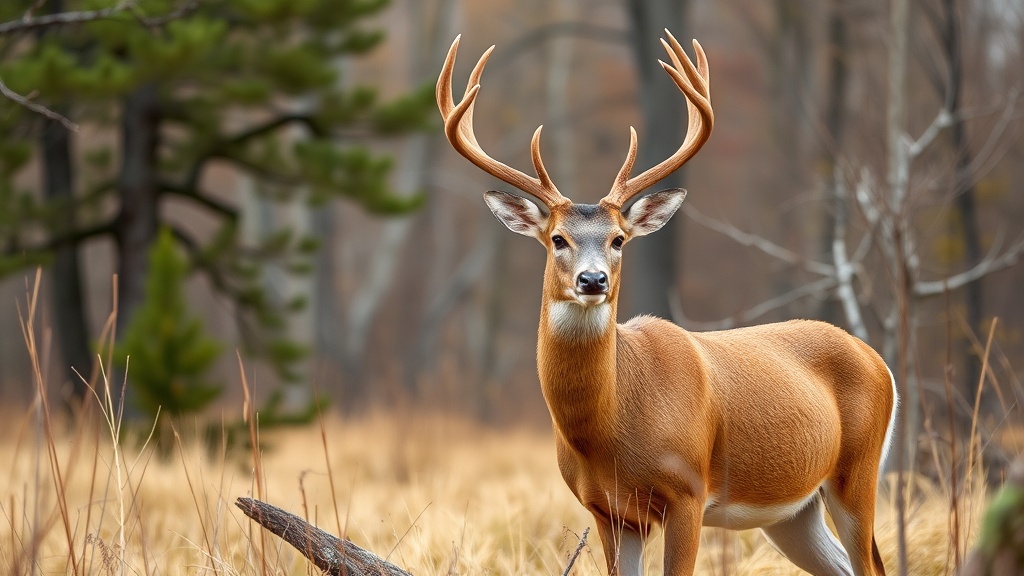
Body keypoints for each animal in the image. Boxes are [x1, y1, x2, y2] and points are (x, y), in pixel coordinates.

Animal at [437, 30, 897, 576]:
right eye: (557, 239)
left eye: (618, 239)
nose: (593, 280)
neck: (611, 424)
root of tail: (877, 360)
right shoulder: (608, 510)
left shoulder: (688, 491)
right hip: (793, 512)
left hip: (858, 472)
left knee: (873, 562)